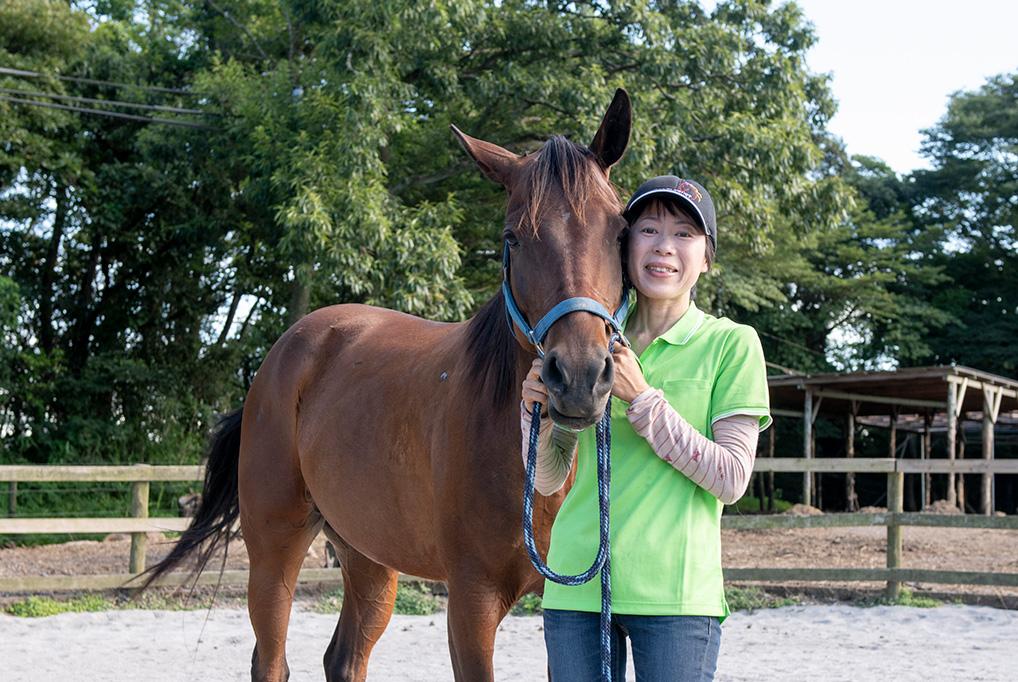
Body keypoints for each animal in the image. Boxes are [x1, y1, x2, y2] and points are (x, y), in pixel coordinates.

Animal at [147, 92, 631, 682]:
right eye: (511, 238)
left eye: (619, 230)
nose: (579, 376)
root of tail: (284, 354)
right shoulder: (471, 601)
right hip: (274, 552)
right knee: (272, 659)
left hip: (367, 554)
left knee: (344, 657)